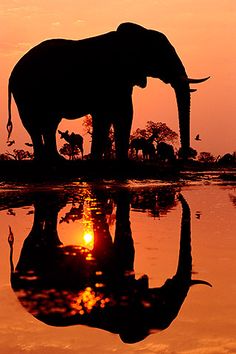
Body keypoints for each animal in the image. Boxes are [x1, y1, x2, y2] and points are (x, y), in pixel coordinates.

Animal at [6, 22, 208, 160]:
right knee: (33, 124)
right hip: (24, 92)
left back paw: (55, 160)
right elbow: (112, 115)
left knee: (50, 123)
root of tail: (11, 76)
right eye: (162, 55)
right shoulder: (109, 77)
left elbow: (120, 114)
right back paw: (46, 160)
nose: (185, 154)